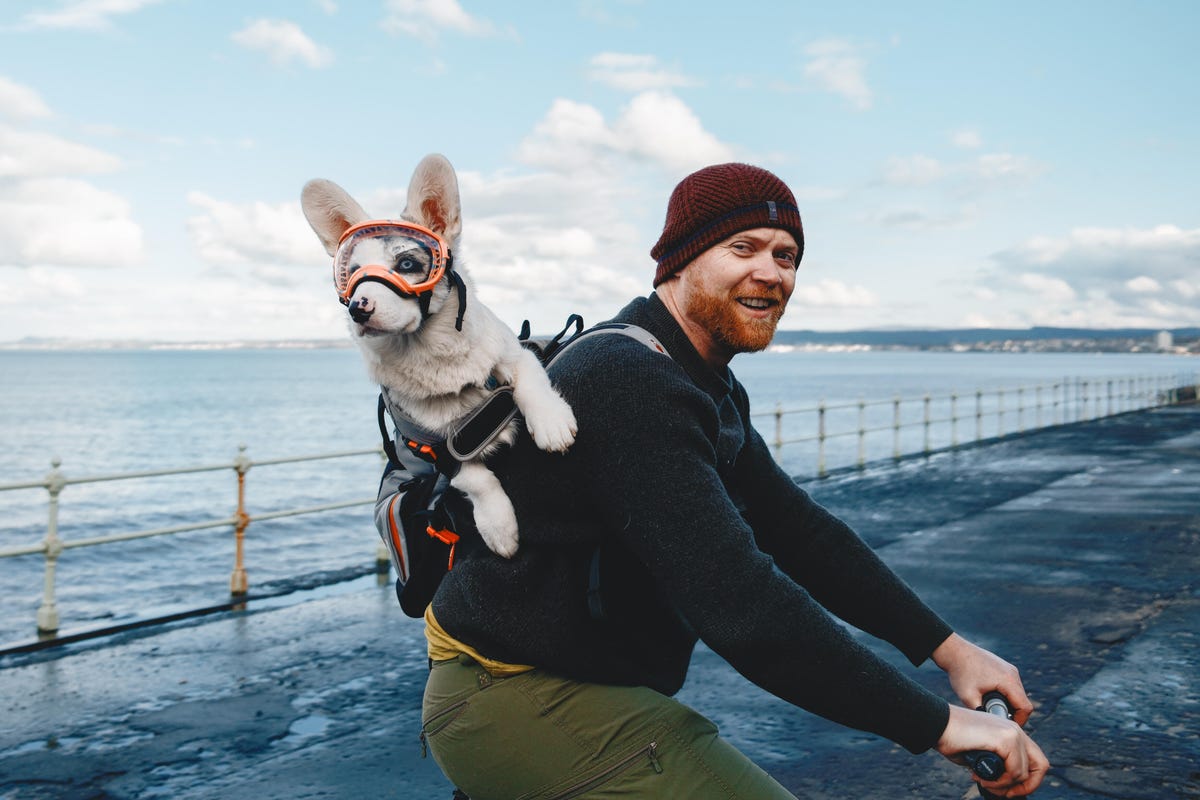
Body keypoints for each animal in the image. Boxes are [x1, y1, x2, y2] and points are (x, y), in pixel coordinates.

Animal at [302, 154, 578, 556]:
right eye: (352, 275)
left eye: (406, 265)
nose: (357, 308)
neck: (428, 349)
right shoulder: (434, 453)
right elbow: (475, 481)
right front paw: (497, 526)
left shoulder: (516, 354)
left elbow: (531, 382)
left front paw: (551, 423)